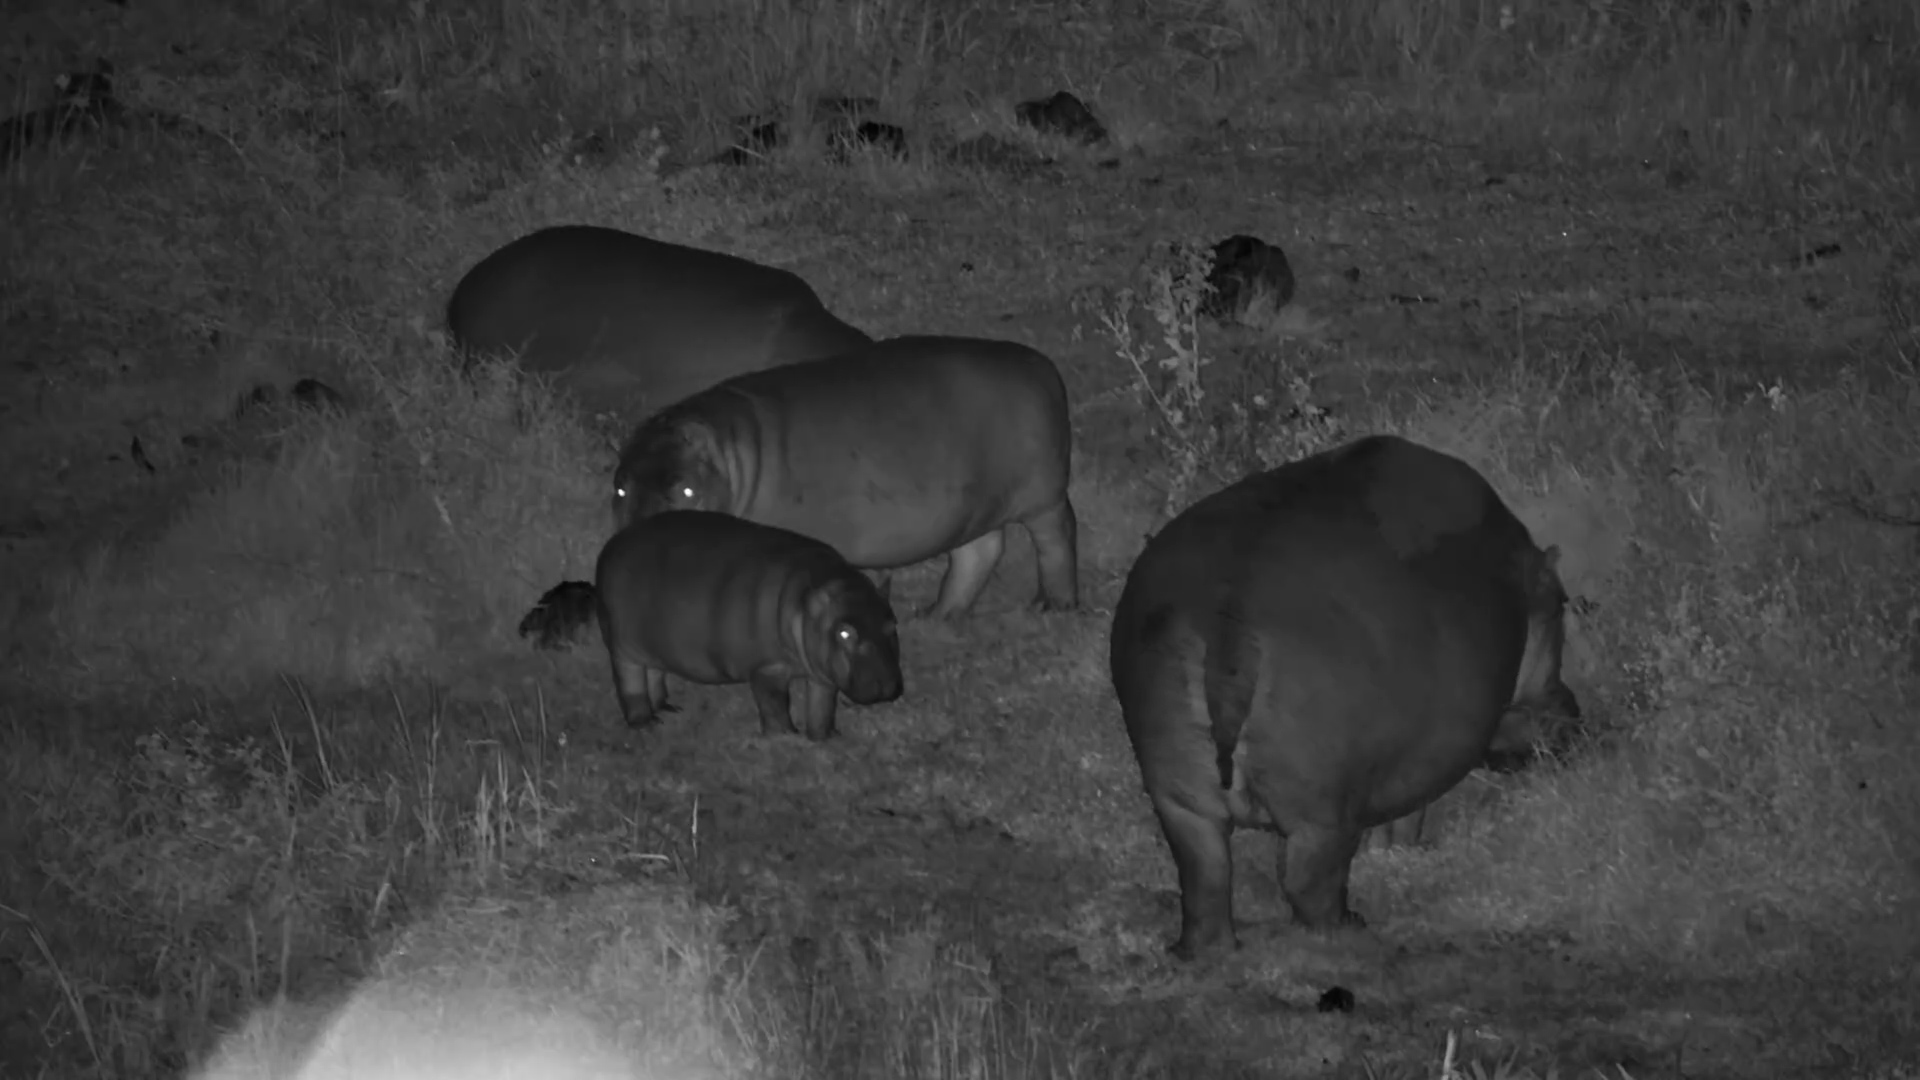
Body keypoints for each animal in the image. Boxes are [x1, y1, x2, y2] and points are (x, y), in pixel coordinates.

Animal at [594, 510, 903, 740]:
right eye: (844, 632)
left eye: (892, 626)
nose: (887, 685)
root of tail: (612, 544)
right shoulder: (767, 668)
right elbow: (775, 705)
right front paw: (785, 738)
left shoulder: (821, 672)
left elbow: (822, 706)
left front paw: (826, 738)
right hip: (623, 648)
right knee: (631, 684)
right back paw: (645, 723)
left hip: (653, 645)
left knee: (655, 673)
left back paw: (668, 710)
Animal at [610, 334, 1079, 618]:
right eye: (619, 487)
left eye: (688, 489)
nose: (639, 546)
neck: (734, 456)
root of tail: (1040, 364)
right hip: (971, 508)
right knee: (978, 553)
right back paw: (937, 615)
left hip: (1044, 496)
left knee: (1056, 540)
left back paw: (1053, 605)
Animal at [1108, 434, 1581, 959]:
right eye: (1562, 605)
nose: (1574, 715)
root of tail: (1224, 614)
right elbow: (1408, 816)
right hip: (1323, 808)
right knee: (1307, 881)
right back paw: (1351, 929)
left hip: (1179, 796)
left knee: (1204, 877)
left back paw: (1206, 951)